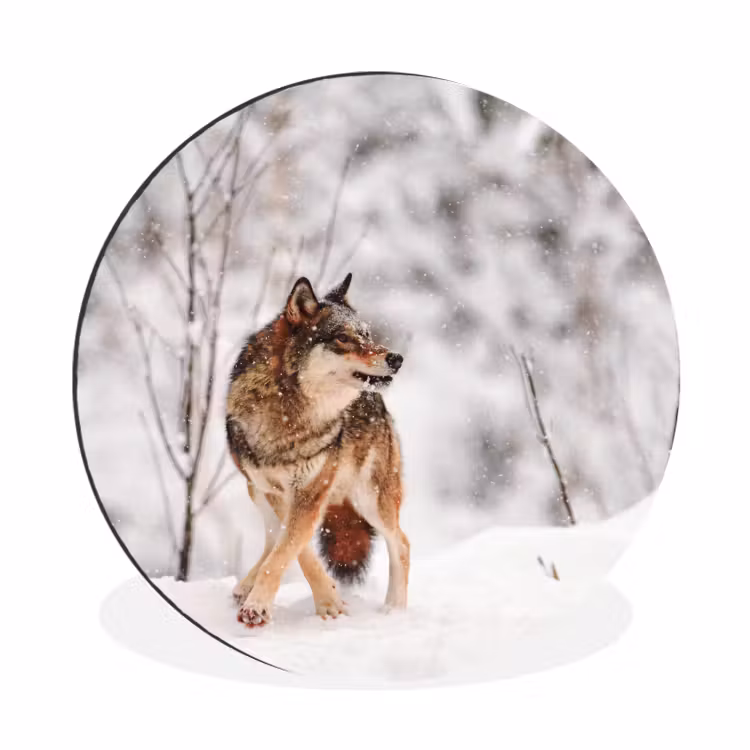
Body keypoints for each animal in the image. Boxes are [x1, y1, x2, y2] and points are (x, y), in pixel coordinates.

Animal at [226, 272, 410, 627]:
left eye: (367, 335)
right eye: (344, 338)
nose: (396, 358)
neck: (291, 416)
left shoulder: (310, 492)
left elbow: (288, 550)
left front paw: (262, 606)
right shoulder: (278, 491)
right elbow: (295, 550)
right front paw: (328, 600)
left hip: (370, 500)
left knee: (402, 543)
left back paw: (394, 610)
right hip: (255, 490)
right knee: (271, 537)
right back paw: (245, 584)